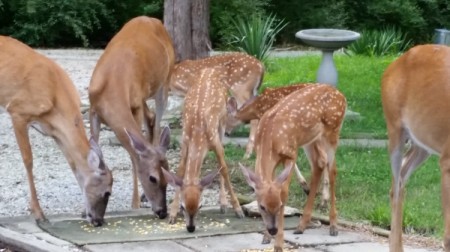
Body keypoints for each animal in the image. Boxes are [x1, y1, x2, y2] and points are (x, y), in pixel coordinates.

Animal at [0, 35, 112, 226]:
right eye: (107, 192)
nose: (98, 220)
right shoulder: (17, 111)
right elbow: (28, 161)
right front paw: (38, 213)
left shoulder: (54, 131)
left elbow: (72, 163)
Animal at [88, 15, 174, 218]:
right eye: (153, 178)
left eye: (167, 177)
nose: (162, 212)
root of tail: (152, 19)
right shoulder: (93, 110)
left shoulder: (134, 106)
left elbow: (134, 156)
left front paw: (134, 203)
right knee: (151, 119)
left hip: (164, 82)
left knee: (157, 126)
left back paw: (141, 197)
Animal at [162, 66, 244, 232]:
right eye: (183, 207)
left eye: (200, 206)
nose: (190, 227)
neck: (197, 133)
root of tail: (210, 69)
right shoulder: (184, 141)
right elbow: (180, 171)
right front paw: (172, 214)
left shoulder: (214, 140)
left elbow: (224, 168)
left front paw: (238, 209)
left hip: (222, 121)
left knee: (222, 161)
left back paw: (223, 204)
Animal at [241, 83, 346, 251]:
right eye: (261, 206)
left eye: (280, 206)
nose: (273, 229)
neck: (269, 139)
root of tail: (340, 94)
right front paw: (265, 237)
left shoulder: (291, 153)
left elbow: (284, 192)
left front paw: (278, 243)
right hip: (310, 139)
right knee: (318, 165)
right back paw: (301, 225)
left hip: (332, 131)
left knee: (332, 170)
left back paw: (333, 226)